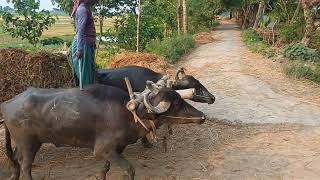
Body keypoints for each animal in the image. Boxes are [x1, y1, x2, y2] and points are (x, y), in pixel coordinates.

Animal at [1, 83, 205, 179]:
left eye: (180, 99)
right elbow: (129, 169)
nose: (202, 116)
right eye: (176, 104)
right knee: (26, 168)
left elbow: (105, 167)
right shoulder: (102, 149)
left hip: (25, 143)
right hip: (29, 143)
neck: (129, 113)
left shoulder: (115, 149)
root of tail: (7, 103)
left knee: (17, 160)